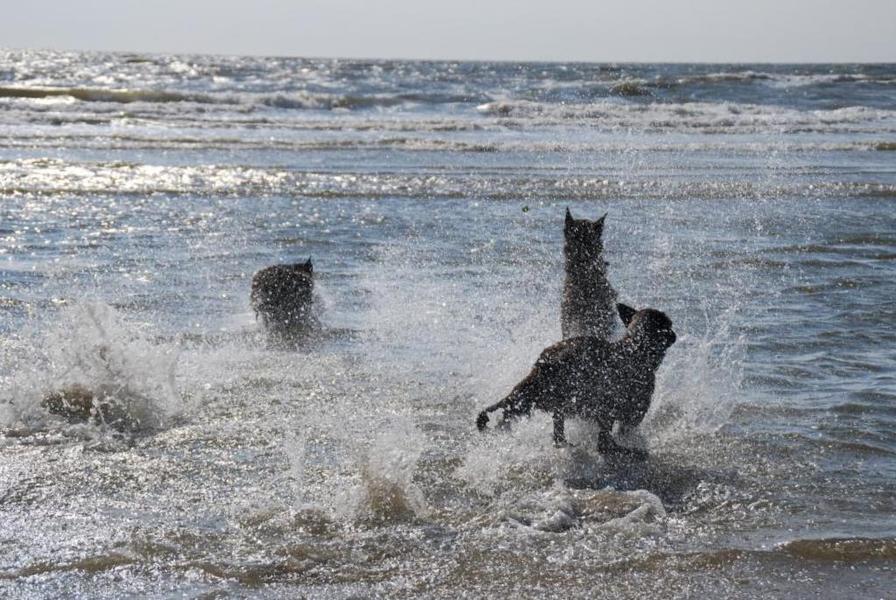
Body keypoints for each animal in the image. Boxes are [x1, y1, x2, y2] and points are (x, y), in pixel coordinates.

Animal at [477, 303, 676, 457]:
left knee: (545, 428)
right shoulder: (631, 416)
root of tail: (543, 364)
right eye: (668, 325)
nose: (674, 334)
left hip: (534, 398)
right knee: (601, 443)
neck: (634, 349)